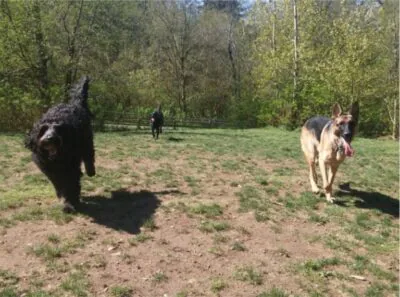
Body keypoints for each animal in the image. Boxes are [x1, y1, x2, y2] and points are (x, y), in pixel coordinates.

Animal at [25, 75, 96, 210]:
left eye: (58, 129)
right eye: (43, 129)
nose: (50, 138)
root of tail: (75, 104)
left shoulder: (71, 167)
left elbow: (71, 184)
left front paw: (70, 203)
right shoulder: (48, 168)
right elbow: (58, 182)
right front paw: (61, 195)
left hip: (87, 140)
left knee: (89, 155)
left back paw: (91, 171)